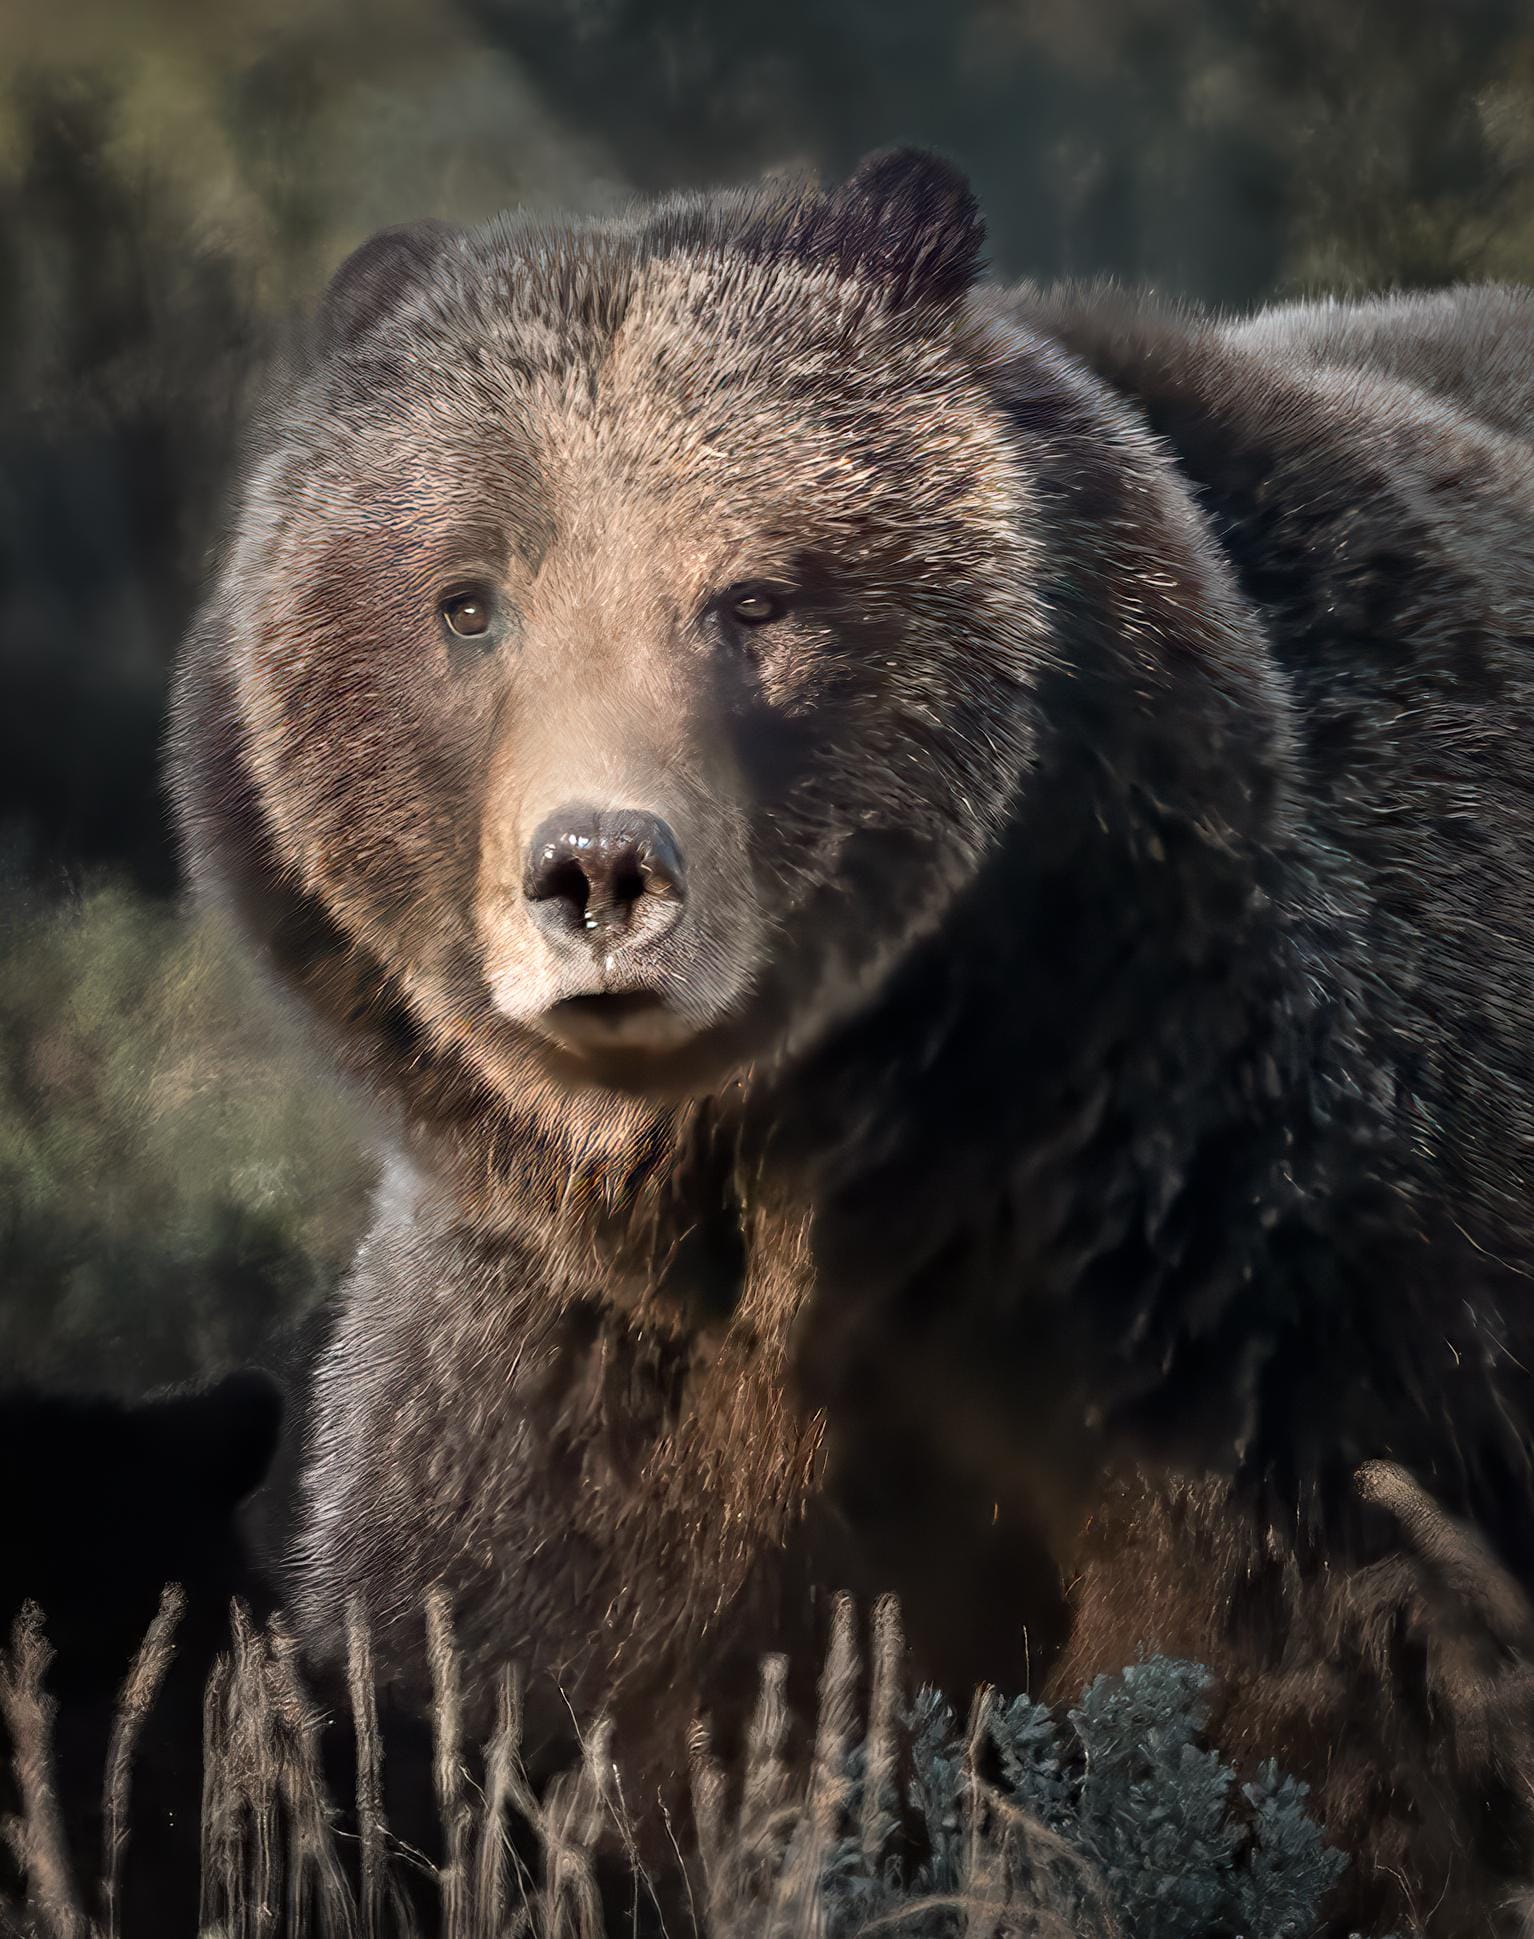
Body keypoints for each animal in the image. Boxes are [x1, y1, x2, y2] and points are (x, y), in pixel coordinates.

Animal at [168, 148, 1534, 1933]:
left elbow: (1315, 1734)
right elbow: (524, 1704)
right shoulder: (590, 1379)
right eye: (467, 601)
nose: (597, 871)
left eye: (751, 595)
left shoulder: (1290, 1329)